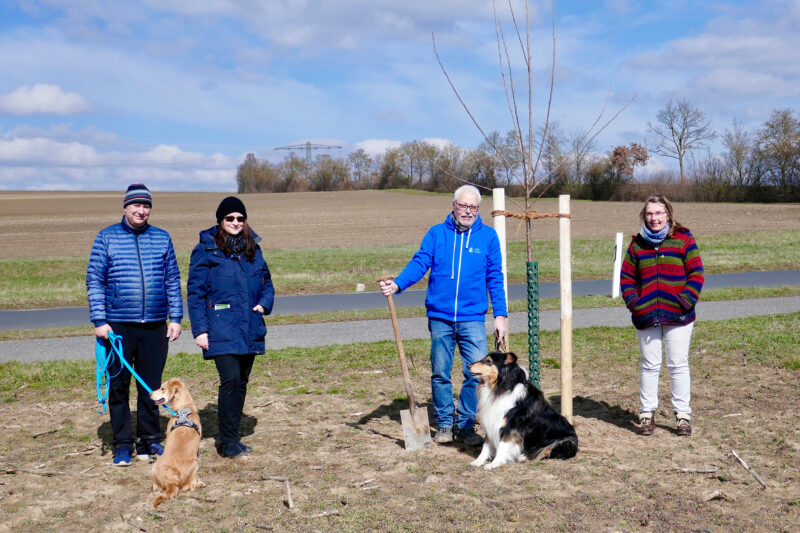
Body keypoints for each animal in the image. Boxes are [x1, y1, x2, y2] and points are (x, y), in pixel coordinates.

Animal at [150, 376, 205, 504]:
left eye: (162, 388)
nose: (150, 394)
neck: (184, 408)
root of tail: (170, 483)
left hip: (153, 467)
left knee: (156, 488)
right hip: (195, 463)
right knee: (191, 486)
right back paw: (200, 483)